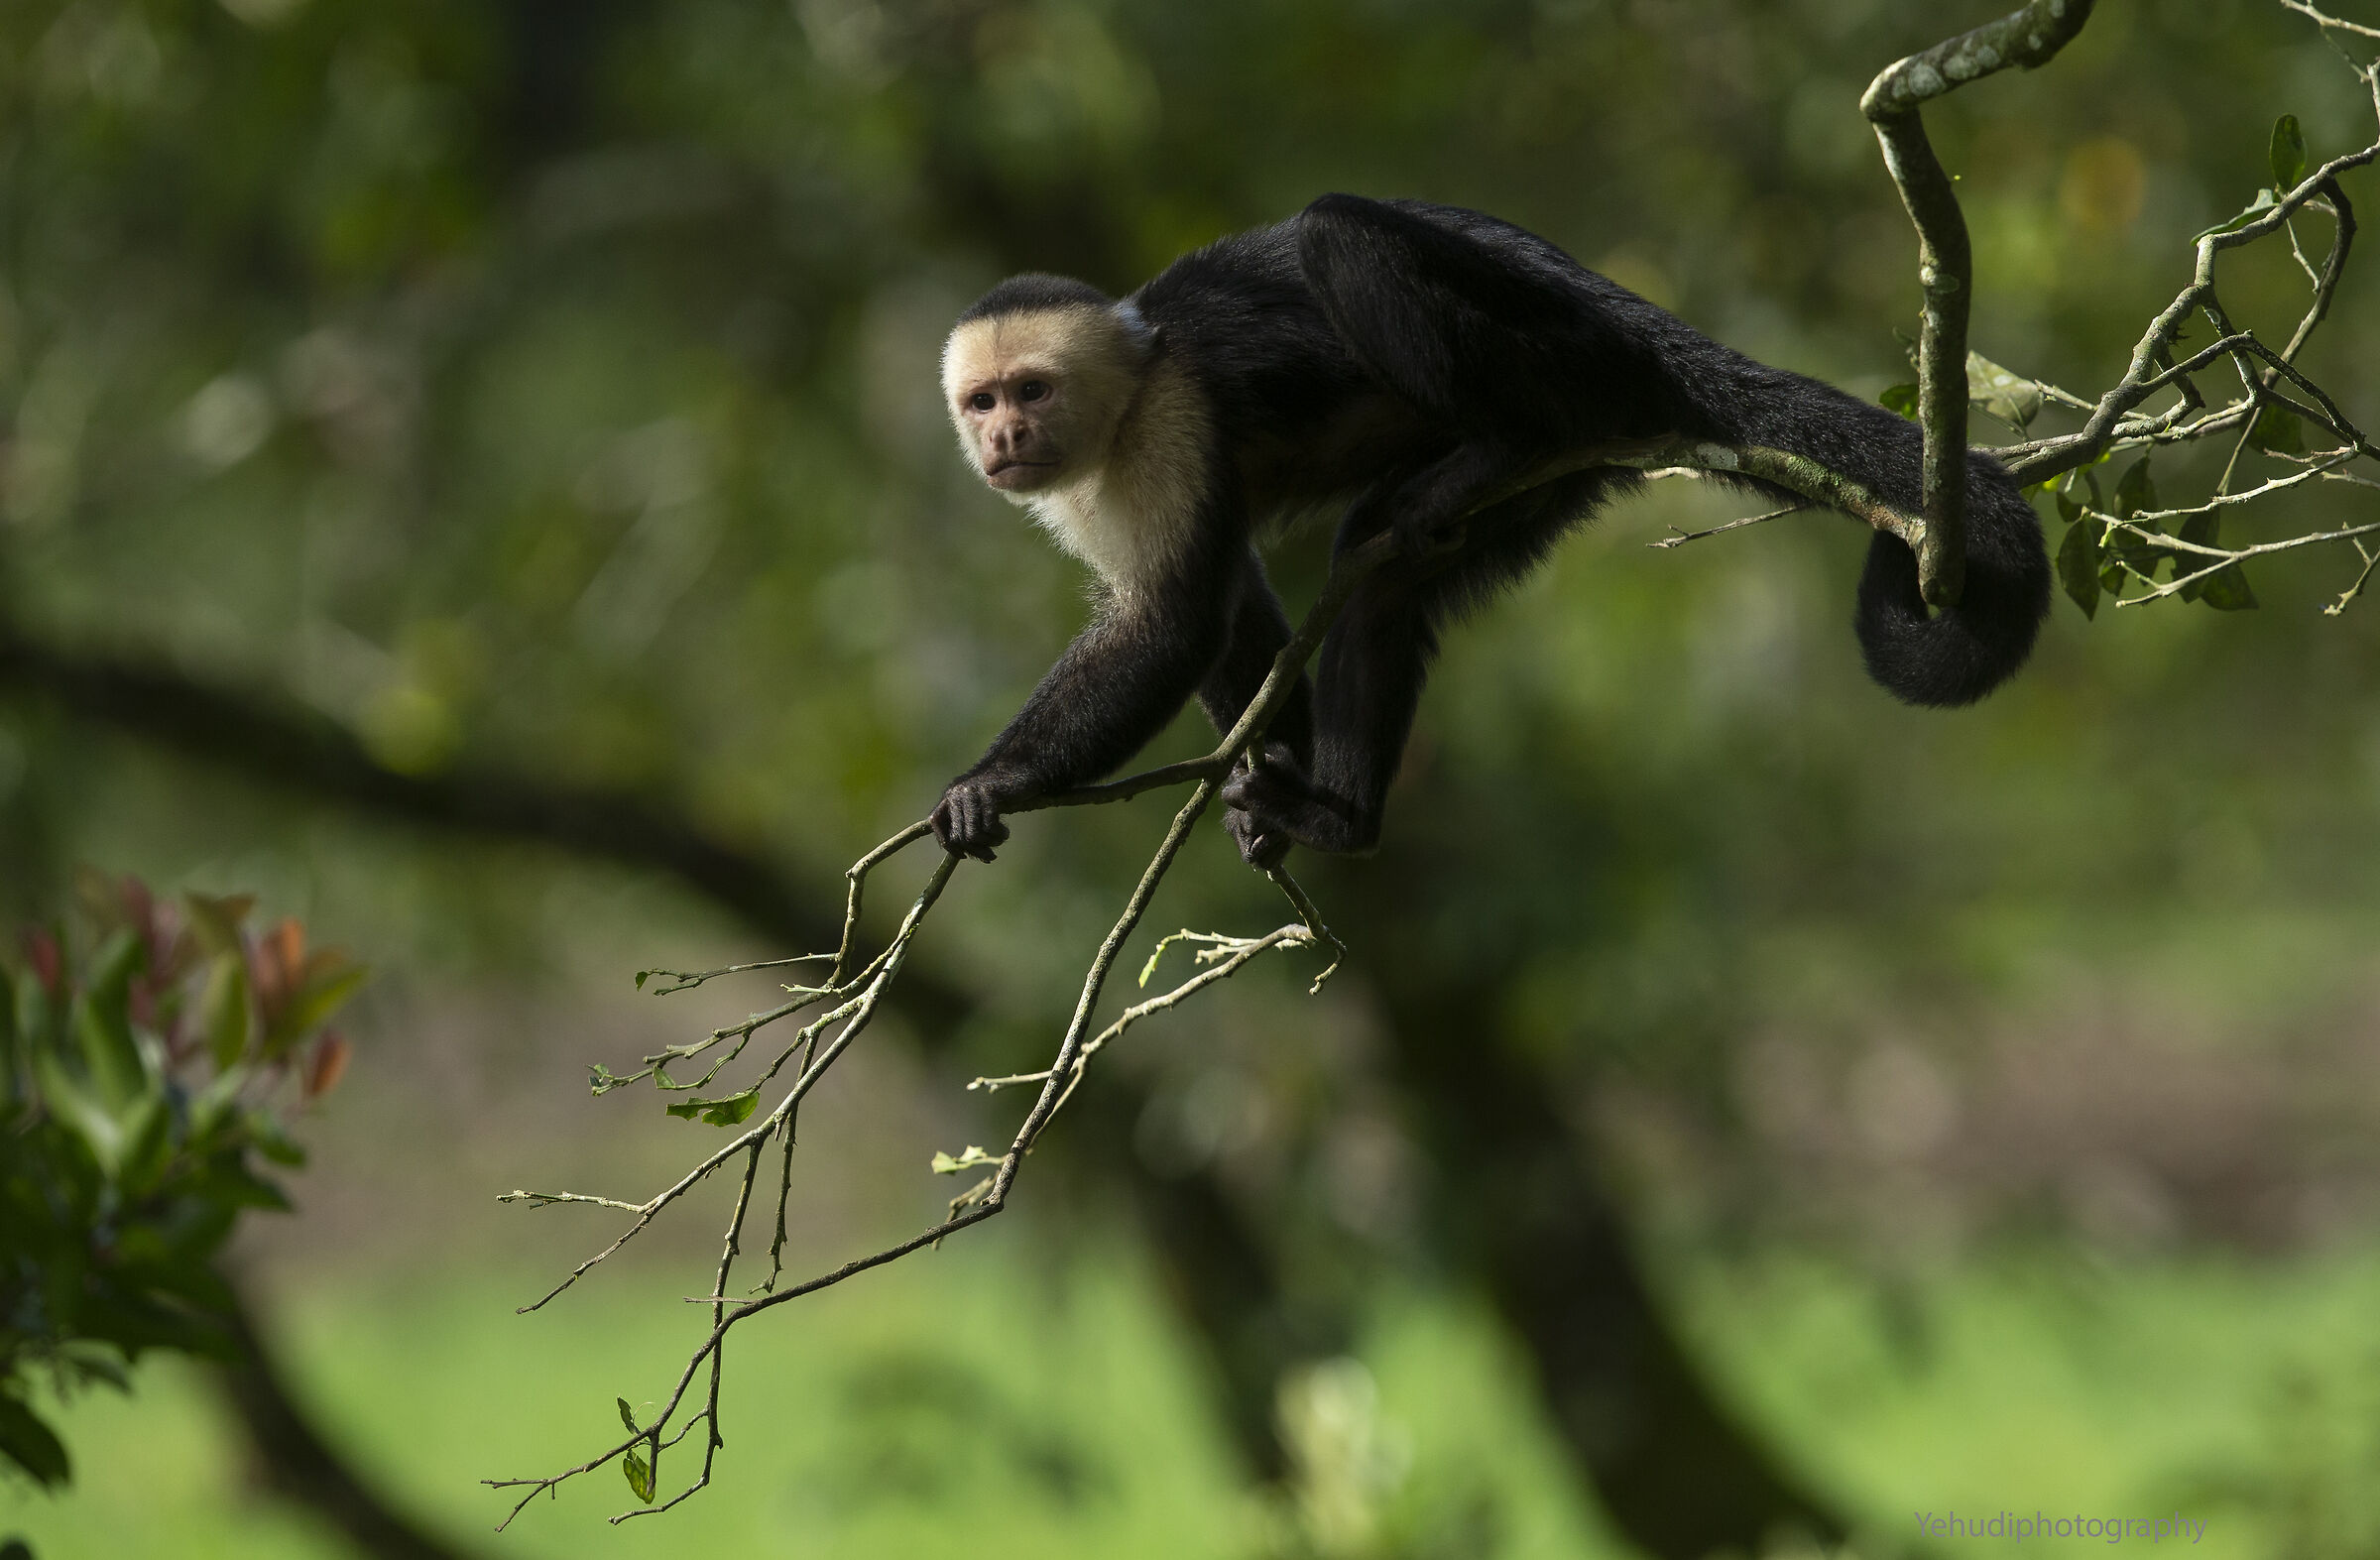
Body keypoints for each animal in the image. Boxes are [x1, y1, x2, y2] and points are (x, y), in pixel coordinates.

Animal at [931, 195, 2050, 868]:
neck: (1122, 399)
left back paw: (1515, 432)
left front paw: (993, 780)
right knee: (1379, 578)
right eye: (983, 400)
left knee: (1341, 233)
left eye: (1031, 389)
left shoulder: (1169, 420)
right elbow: (1228, 600)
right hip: (1553, 482)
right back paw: (1339, 819)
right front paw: (1275, 766)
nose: (1005, 436)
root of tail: (1627, 317)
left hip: (1573, 353)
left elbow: (1174, 620)